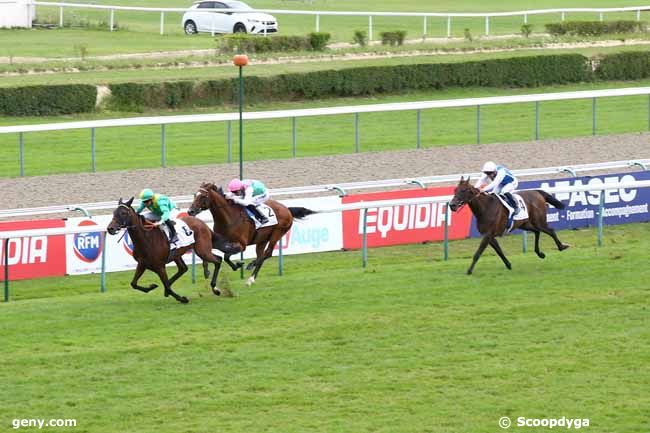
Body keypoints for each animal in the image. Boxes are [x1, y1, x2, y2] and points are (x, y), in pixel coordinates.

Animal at [186, 181, 316, 286]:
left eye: (203, 196)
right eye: (194, 195)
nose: (190, 211)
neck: (228, 217)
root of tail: (287, 209)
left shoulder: (241, 244)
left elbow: (227, 255)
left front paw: (237, 265)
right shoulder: (217, 240)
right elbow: (208, 252)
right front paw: (206, 270)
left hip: (277, 233)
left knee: (267, 254)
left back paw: (251, 269)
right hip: (262, 240)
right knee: (261, 255)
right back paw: (251, 277)